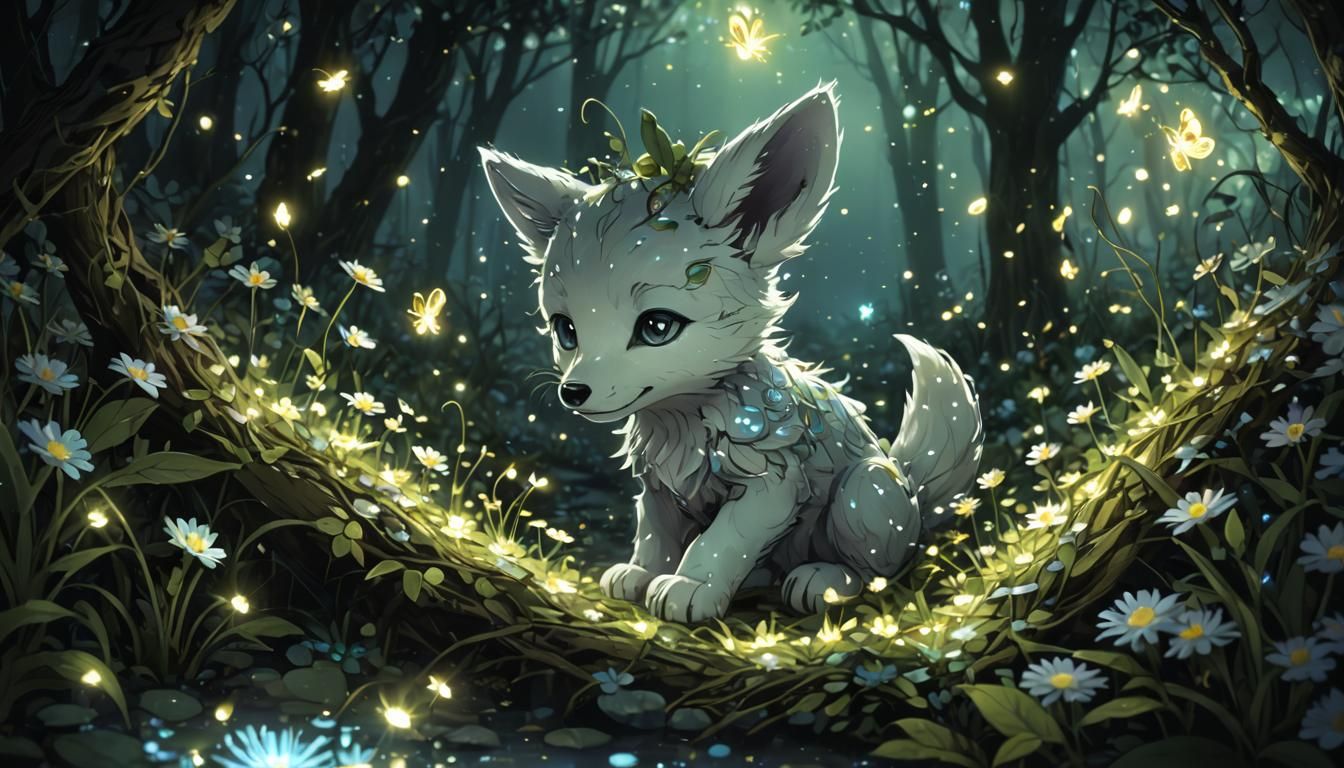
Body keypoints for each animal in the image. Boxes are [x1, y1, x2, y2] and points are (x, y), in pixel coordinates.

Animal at [478, 83, 982, 623]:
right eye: (566, 330)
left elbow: (721, 540)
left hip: (865, 491)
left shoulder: (772, 484)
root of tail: (914, 495)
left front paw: (689, 586)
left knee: (877, 573)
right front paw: (641, 573)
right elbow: (655, 535)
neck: (680, 421)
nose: (574, 392)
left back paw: (824, 580)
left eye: (657, 327)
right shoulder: (658, 487)